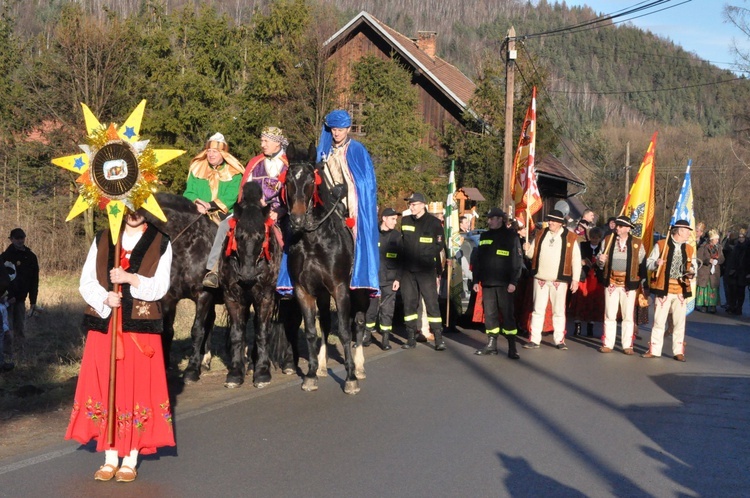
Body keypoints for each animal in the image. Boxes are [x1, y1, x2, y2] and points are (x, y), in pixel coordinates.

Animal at [284, 150, 370, 394]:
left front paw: (351, 377)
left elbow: (345, 331)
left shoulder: (340, 289)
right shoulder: (303, 291)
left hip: (361, 292)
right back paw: (322, 366)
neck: (314, 240)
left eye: (311, 181)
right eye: (288, 180)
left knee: (359, 323)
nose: (297, 219)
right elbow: (312, 331)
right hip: (322, 294)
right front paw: (311, 374)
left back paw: (360, 366)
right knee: (324, 324)